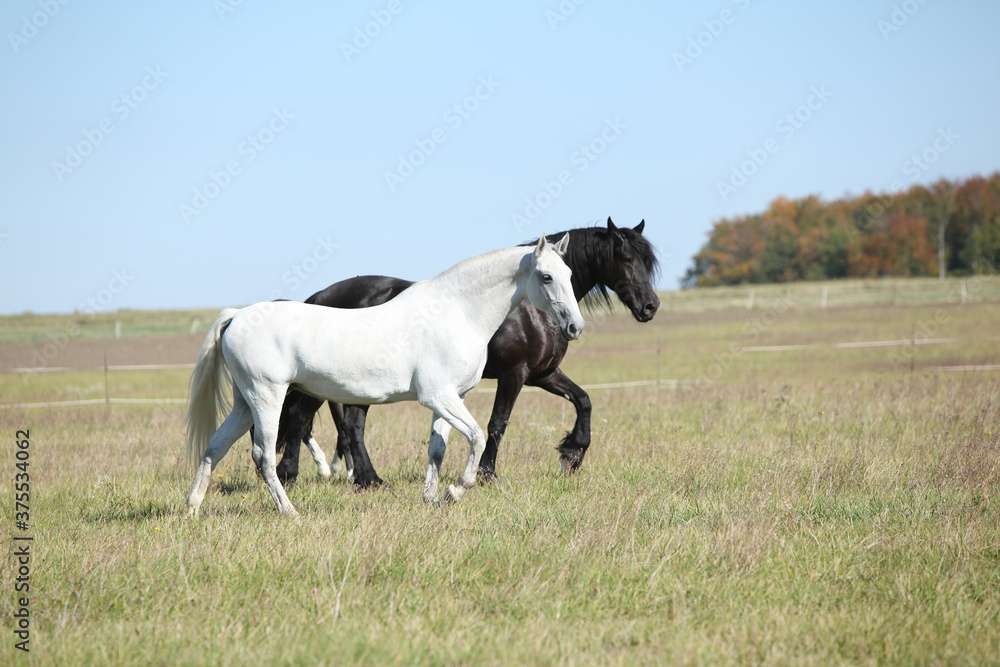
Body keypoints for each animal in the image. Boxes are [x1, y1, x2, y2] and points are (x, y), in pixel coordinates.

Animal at [184, 235, 585, 515]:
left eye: (569, 274)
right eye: (546, 276)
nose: (575, 327)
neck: (457, 312)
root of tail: (237, 316)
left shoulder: (451, 398)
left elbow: (437, 449)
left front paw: (432, 500)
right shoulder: (439, 396)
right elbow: (477, 437)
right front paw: (455, 491)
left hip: (245, 404)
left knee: (215, 446)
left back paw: (192, 508)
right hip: (267, 398)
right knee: (264, 456)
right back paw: (290, 512)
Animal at [273, 218, 659, 488]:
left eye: (569, 272)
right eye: (626, 258)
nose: (650, 307)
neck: (528, 311)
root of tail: (319, 296)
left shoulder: (543, 374)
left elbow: (583, 400)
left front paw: (572, 452)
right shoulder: (515, 374)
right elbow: (498, 423)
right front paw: (487, 473)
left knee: (344, 424)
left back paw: (364, 479)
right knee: (306, 420)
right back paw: (299, 474)